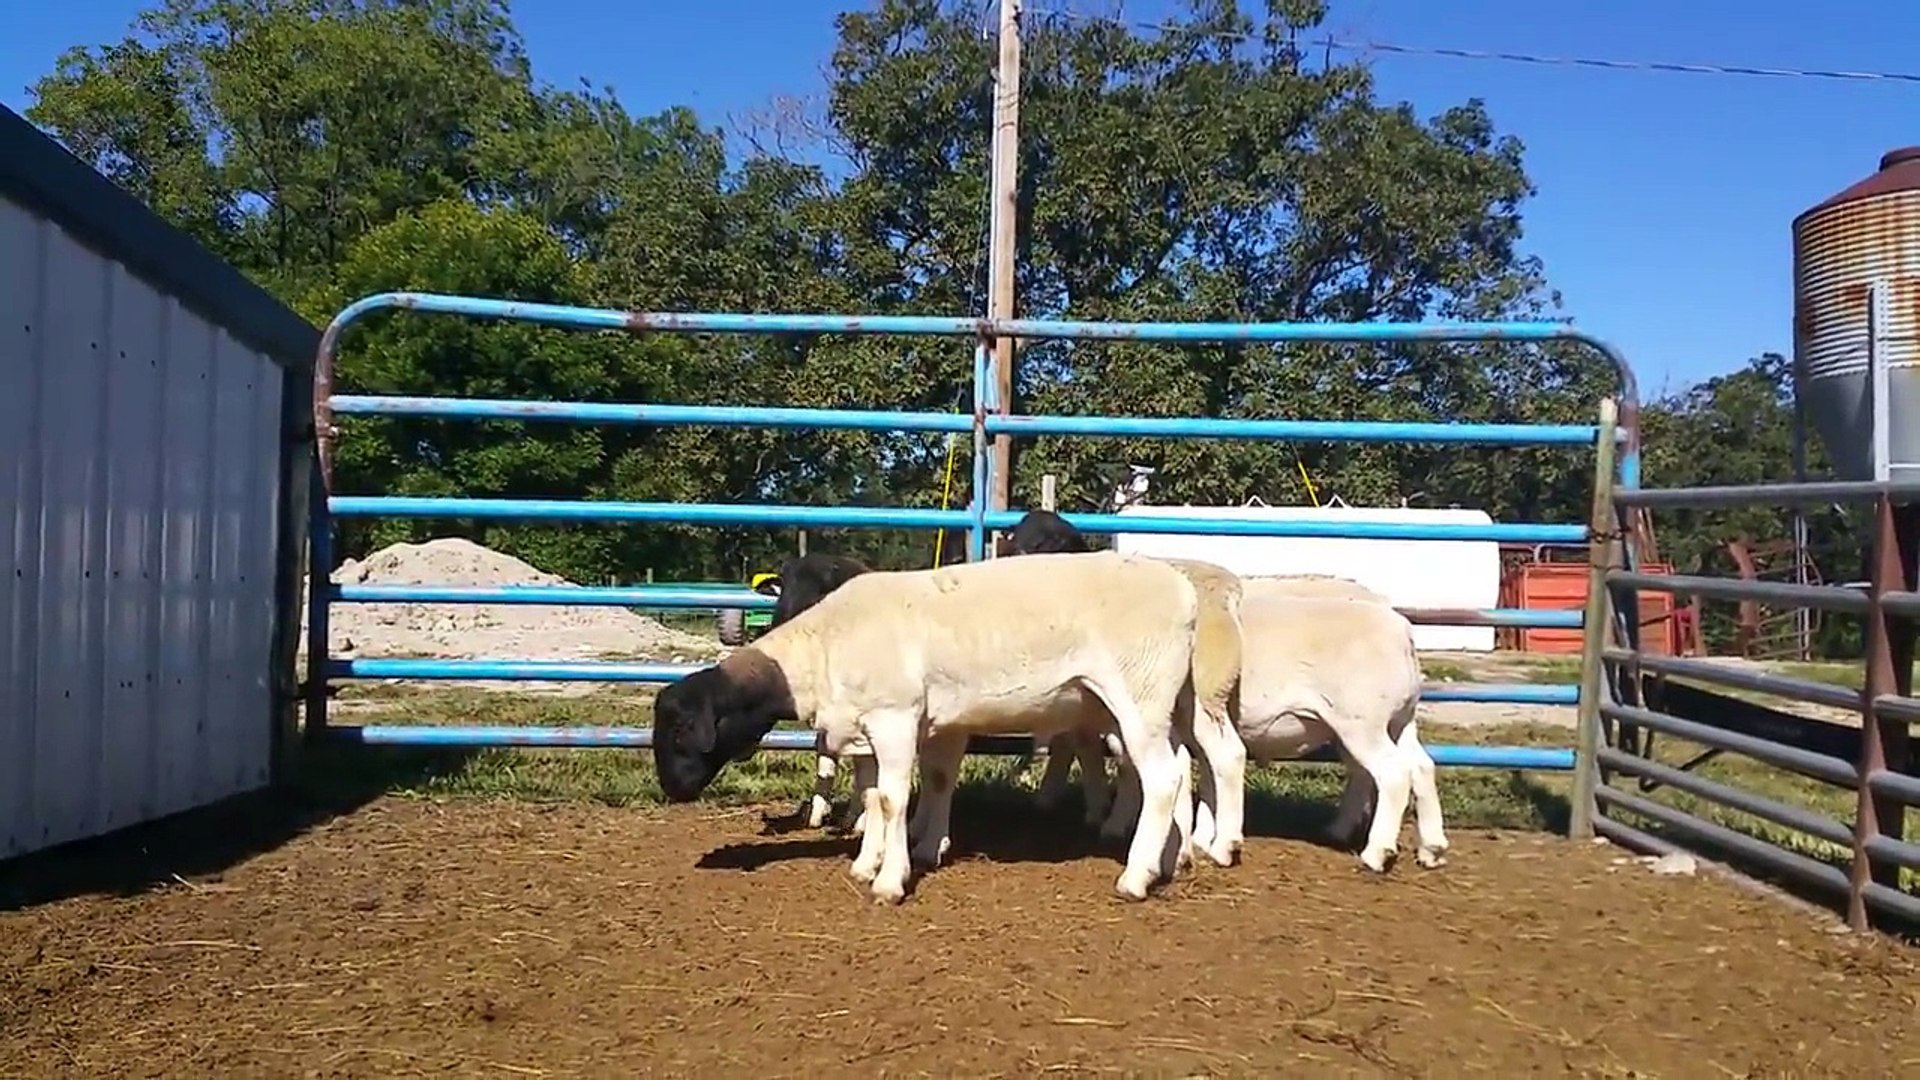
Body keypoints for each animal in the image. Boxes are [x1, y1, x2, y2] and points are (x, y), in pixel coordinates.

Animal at [652, 545, 1205, 899]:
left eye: (681, 731)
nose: (671, 789)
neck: (820, 651)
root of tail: (1184, 592)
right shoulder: (900, 727)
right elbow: (895, 792)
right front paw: (881, 861)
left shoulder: (895, 718)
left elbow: (892, 800)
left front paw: (888, 881)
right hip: (1153, 704)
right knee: (1179, 767)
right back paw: (1171, 861)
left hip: (1138, 693)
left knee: (1162, 778)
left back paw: (1135, 879)